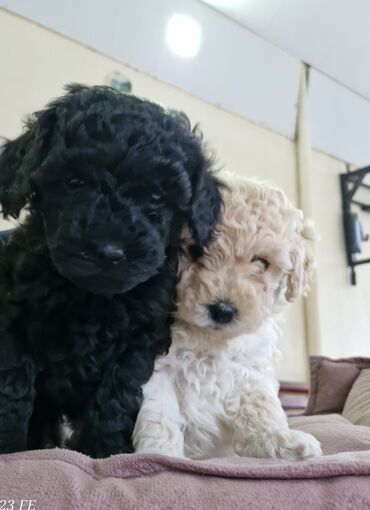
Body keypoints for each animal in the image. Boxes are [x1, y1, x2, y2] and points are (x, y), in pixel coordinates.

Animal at [0, 83, 221, 458]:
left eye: (157, 196)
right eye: (75, 182)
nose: (109, 251)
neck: (91, 297)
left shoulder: (139, 339)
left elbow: (115, 398)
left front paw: (104, 451)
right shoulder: (13, 319)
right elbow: (12, 388)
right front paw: (11, 448)